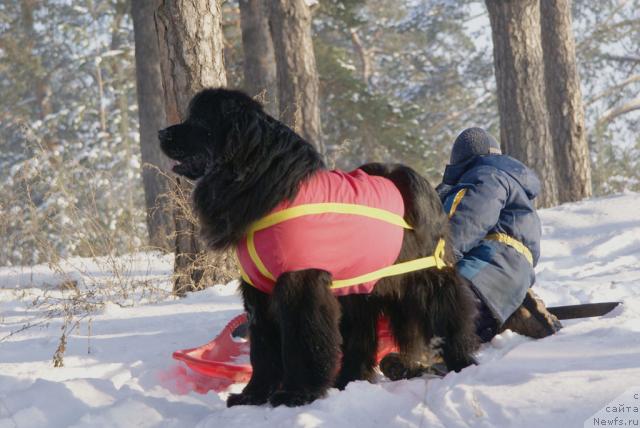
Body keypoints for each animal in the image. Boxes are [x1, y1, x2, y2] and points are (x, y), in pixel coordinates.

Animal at [160, 88, 480, 406]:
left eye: (198, 121)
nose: (161, 132)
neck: (264, 186)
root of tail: (419, 185)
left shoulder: (299, 285)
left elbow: (302, 341)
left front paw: (296, 394)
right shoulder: (258, 291)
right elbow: (263, 349)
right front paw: (252, 395)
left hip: (426, 278)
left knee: (451, 314)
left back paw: (461, 362)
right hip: (361, 288)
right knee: (361, 337)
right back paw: (348, 379)